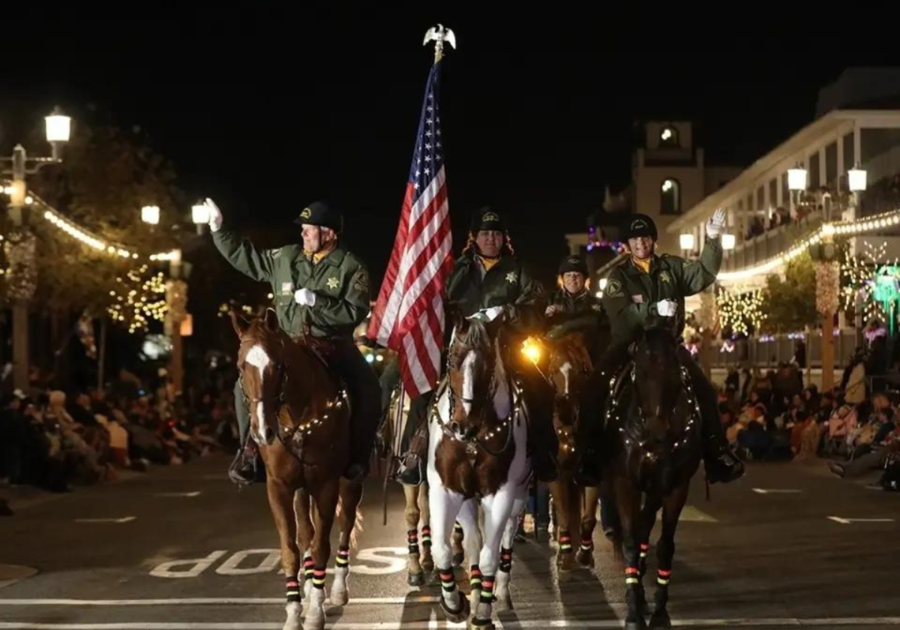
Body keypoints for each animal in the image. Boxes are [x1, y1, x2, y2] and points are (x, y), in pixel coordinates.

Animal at [232, 312, 366, 630]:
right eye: (241, 365)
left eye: (278, 365)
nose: (262, 432)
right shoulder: (279, 488)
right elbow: (290, 550)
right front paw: (294, 612)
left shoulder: (326, 484)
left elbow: (321, 546)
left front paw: (316, 610)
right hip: (301, 489)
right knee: (306, 531)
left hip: (349, 482)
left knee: (345, 525)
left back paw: (337, 589)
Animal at [426, 316, 532, 628]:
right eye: (451, 360)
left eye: (488, 363)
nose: (464, 427)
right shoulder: (446, 491)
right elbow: (442, 550)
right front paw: (454, 604)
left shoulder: (500, 495)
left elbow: (489, 557)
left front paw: (483, 613)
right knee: (474, 539)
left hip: (519, 495)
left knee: (506, 537)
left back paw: (500, 592)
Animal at [600, 326, 708, 630]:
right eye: (641, 372)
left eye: (673, 369)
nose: (658, 429)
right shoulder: (625, 483)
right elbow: (630, 542)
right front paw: (634, 612)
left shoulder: (675, 487)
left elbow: (665, 545)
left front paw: (660, 611)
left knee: (646, 523)